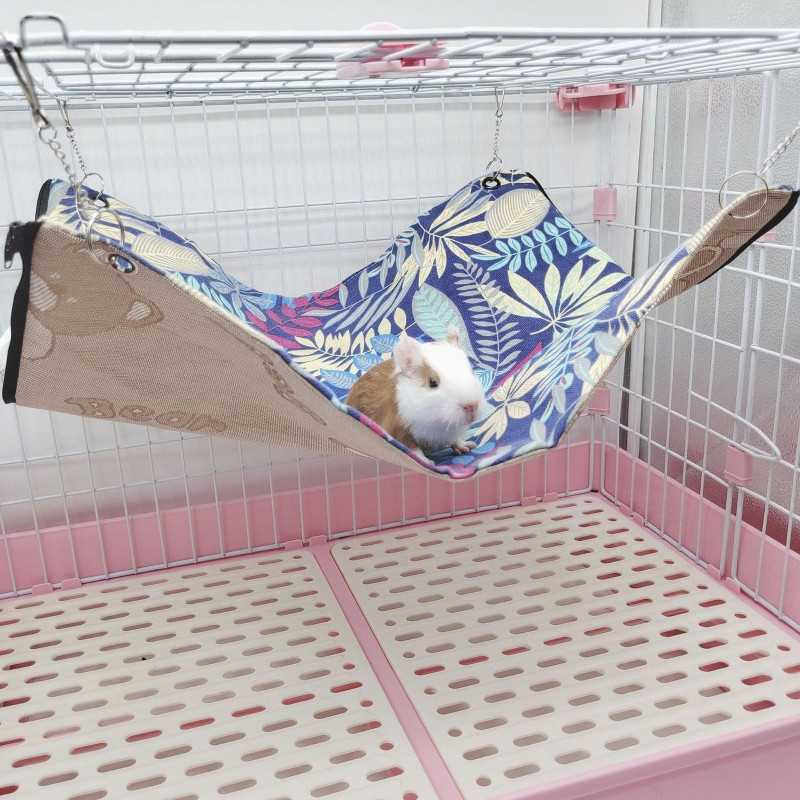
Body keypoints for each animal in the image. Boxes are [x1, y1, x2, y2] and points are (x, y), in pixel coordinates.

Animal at [345, 327, 488, 459]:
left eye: (472, 372)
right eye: (432, 382)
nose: (471, 406)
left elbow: (456, 441)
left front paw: (468, 447)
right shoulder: (400, 431)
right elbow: (415, 451)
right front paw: (429, 462)